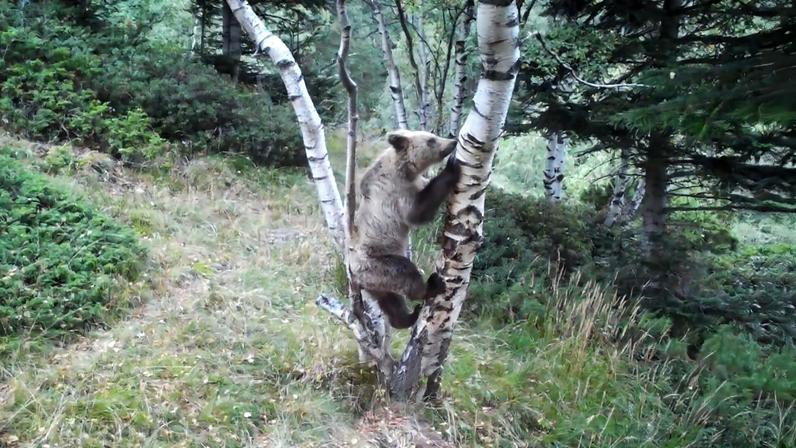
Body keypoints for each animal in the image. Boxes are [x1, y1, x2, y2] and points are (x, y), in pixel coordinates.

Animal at [348, 129, 461, 329]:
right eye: (431, 140)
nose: (452, 142)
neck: (405, 170)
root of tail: (354, 276)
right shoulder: (395, 193)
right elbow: (417, 212)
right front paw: (451, 168)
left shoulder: (414, 183)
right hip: (377, 265)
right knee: (406, 273)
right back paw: (429, 287)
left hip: (375, 283)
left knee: (390, 300)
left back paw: (406, 317)